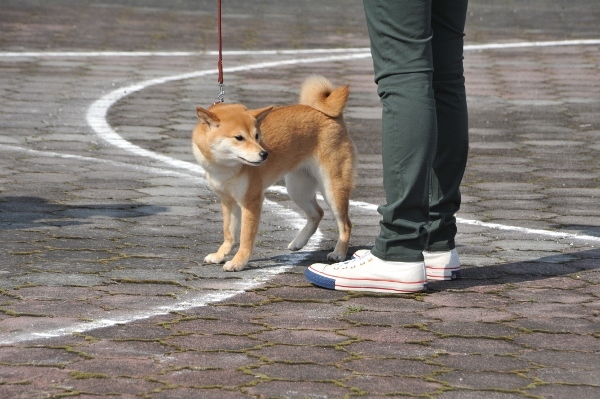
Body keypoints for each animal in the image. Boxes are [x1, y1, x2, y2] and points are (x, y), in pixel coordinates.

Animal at [191, 76, 356, 272]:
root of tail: (331, 114)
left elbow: (245, 238)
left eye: (257, 136)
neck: (226, 168)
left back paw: (339, 253)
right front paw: (220, 255)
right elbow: (229, 234)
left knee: (345, 224)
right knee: (317, 213)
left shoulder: (251, 202)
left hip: (332, 187)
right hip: (297, 189)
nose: (264, 154)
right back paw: (299, 242)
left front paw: (238, 262)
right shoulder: (228, 201)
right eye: (239, 138)